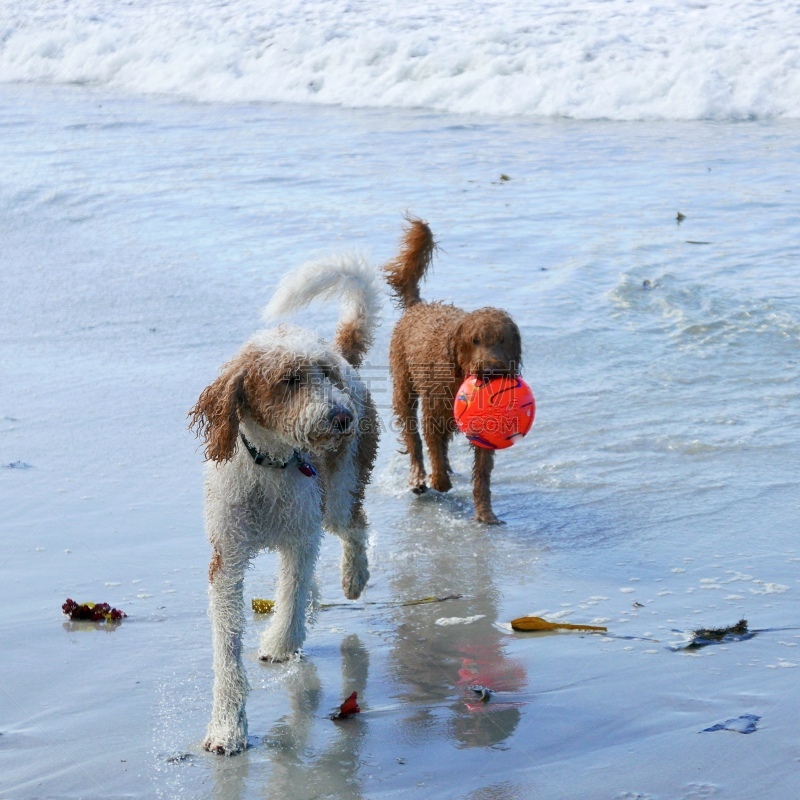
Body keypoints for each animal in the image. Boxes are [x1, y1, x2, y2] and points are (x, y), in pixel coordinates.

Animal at [192, 255, 382, 756]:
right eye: (289, 380)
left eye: (325, 375)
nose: (342, 417)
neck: (270, 466)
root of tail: (343, 352)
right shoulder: (227, 559)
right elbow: (227, 650)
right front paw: (227, 728)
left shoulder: (299, 537)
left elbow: (292, 591)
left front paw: (281, 643)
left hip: (338, 495)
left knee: (356, 527)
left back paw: (353, 577)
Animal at [384, 217, 520, 524]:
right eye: (475, 340)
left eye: (502, 340)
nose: (490, 370)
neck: (459, 374)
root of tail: (418, 305)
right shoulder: (432, 413)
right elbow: (432, 447)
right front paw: (438, 481)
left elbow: (481, 473)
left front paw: (485, 513)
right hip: (403, 388)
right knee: (413, 440)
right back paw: (419, 477)